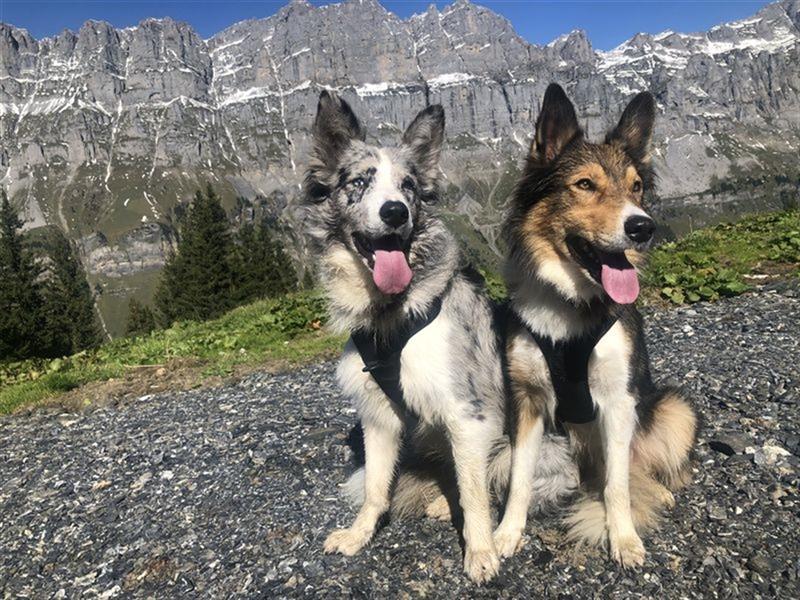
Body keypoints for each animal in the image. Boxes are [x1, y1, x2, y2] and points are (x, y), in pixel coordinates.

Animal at [496, 84, 696, 568]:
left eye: (637, 187)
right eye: (584, 184)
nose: (643, 227)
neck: (571, 304)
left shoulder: (619, 402)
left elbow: (618, 485)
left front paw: (623, 539)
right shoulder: (527, 402)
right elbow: (519, 476)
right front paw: (506, 533)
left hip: (675, 409)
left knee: (639, 469)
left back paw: (658, 493)